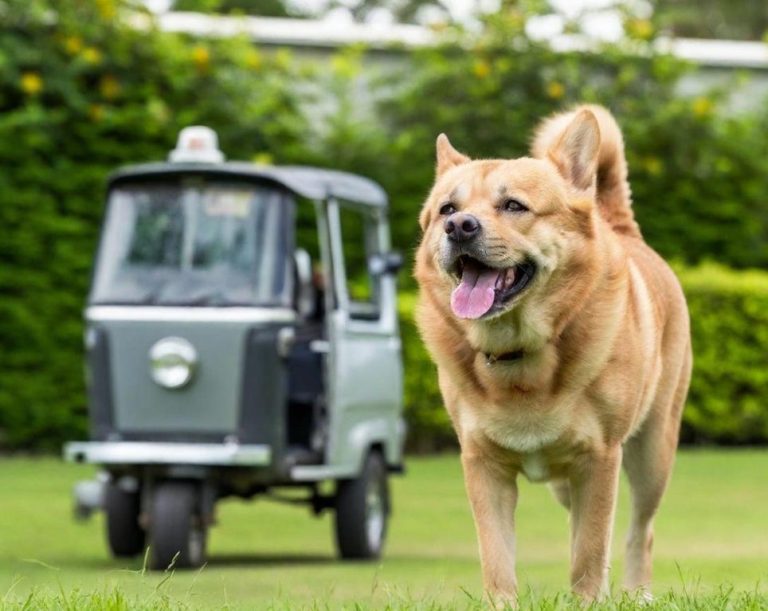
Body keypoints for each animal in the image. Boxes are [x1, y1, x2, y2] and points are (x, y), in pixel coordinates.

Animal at [414, 105, 691, 602]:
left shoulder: (599, 459)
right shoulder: (482, 465)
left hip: (653, 451)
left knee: (638, 531)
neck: (518, 354)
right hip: (567, 483)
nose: (459, 227)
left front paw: (589, 601)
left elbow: (589, 552)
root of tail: (620, 225)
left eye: (513, 206)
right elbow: (497, 558)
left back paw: (637, 593)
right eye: (448, 208)